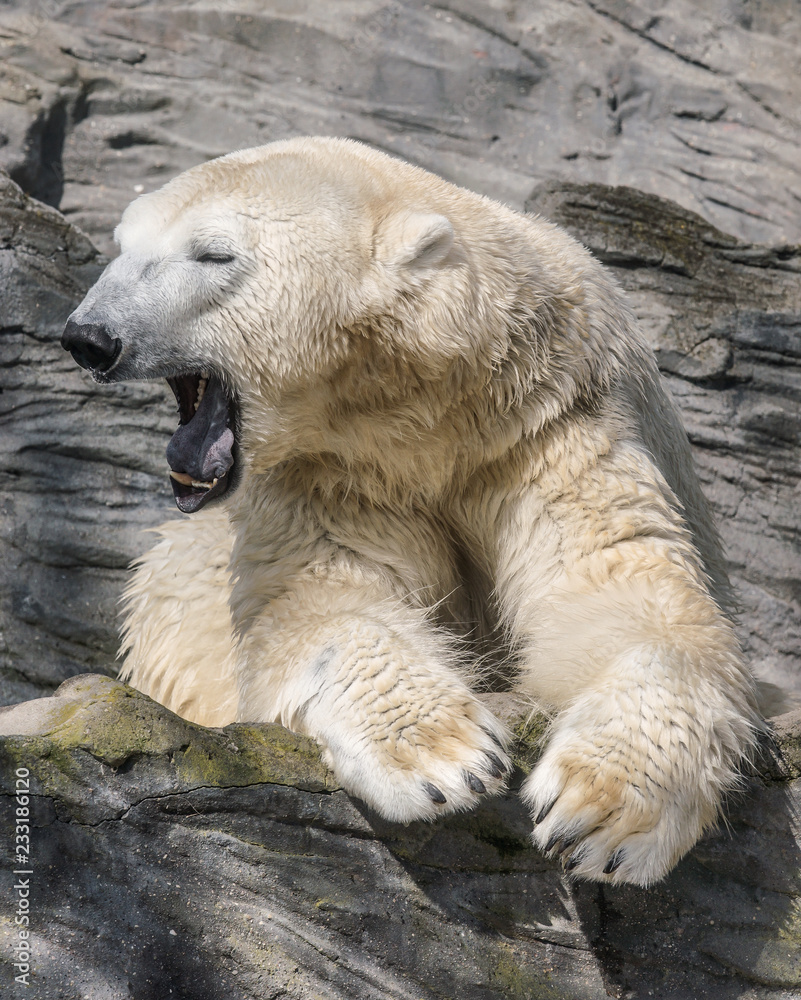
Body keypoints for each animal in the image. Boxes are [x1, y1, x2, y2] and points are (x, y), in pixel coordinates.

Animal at [61, 137, 760, 886]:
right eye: (122, 244)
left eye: (213, 254)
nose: (89, 336)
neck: (431, 411)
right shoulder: (337, 479)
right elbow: (321, 603)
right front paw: (446, 757)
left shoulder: (555, 422)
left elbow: (621, 590)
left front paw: (600, 809)